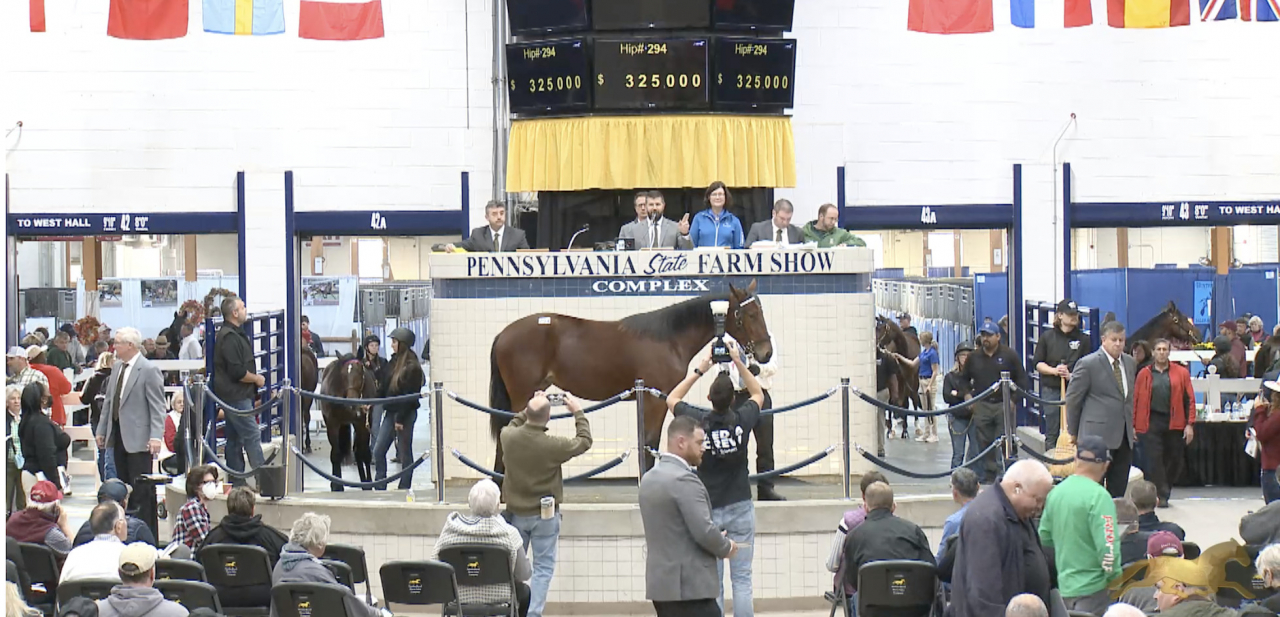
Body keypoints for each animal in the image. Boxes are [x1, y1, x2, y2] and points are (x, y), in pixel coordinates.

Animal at [319, 354, 377, 491]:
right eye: (343, 375)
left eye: (361, 371)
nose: (352, 402)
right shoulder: (332, 424)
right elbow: (335, 454)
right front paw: (337, 485)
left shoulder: (363, 423)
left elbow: (364, 452)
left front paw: (368, 483)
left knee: (357, 450)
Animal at [488, 280, 773, 475]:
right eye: (749, 315)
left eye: (761, 311)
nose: (766, 353)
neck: (668, 338)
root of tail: (503, 334)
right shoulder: (656, 401)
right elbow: (649, 442)